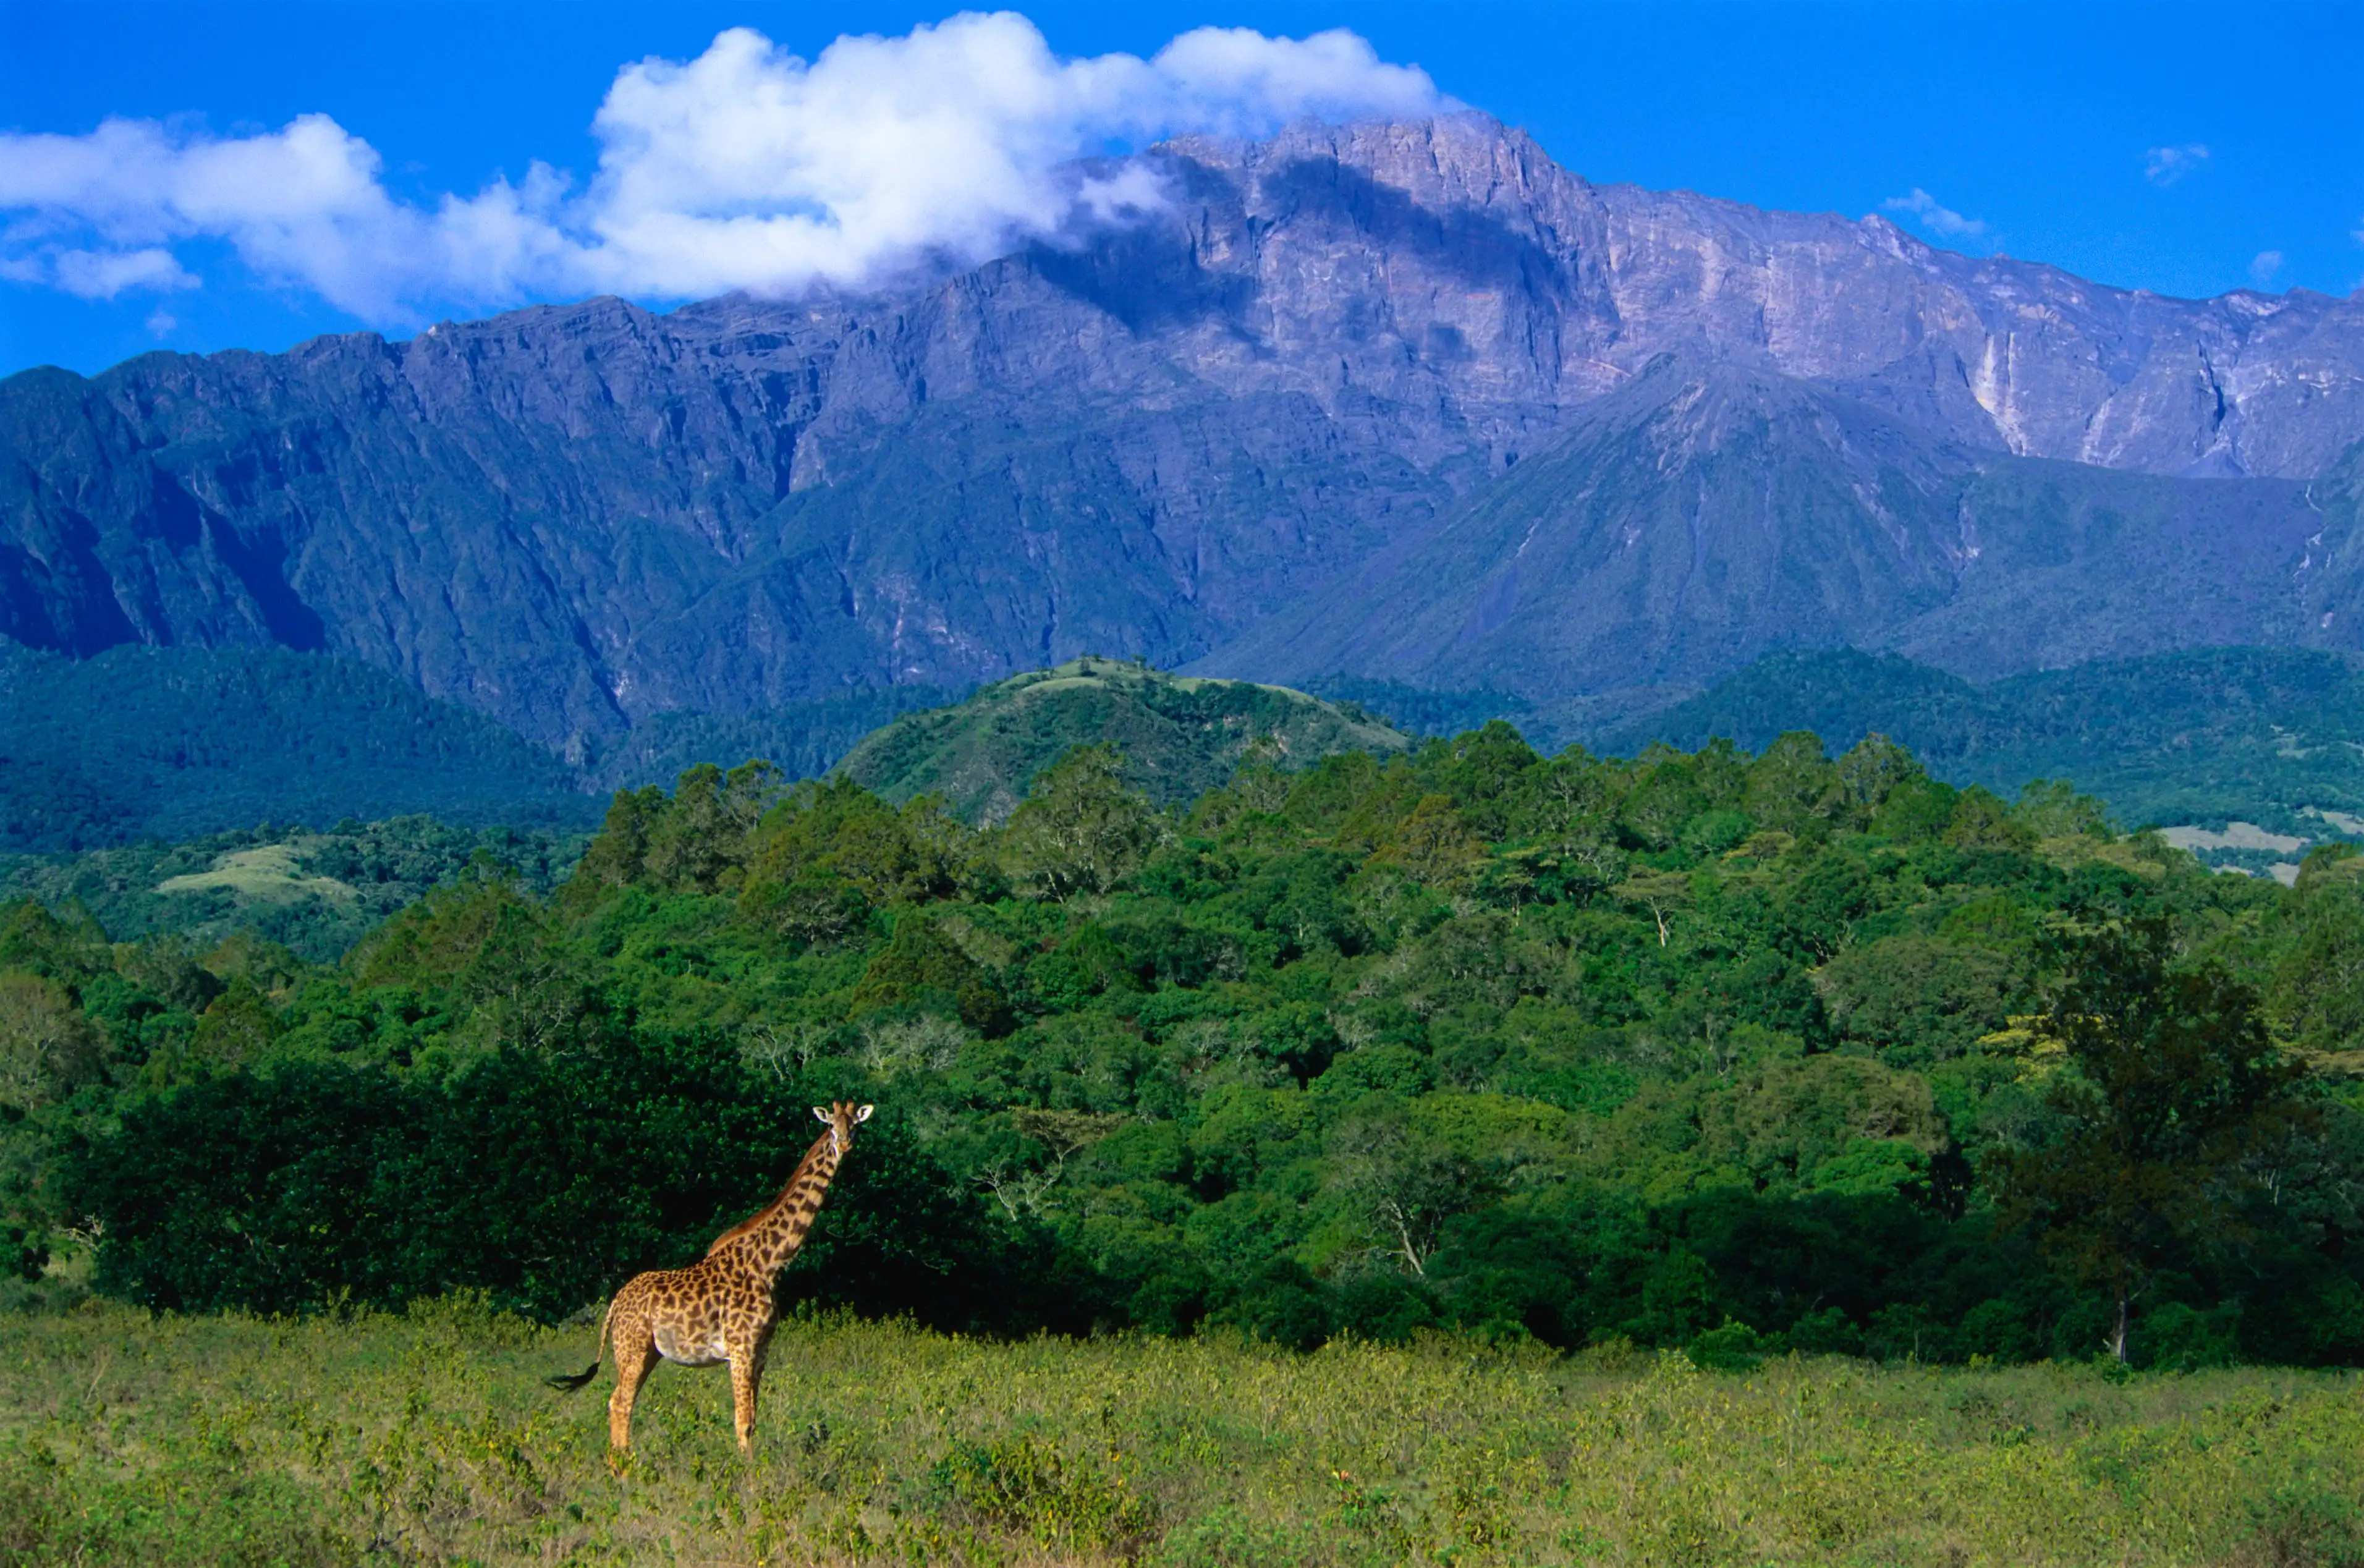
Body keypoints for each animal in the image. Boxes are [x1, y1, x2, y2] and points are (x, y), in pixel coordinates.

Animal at [546, 1097, 879, 1457]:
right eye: (831, 1126)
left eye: (855, 1125)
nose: (844, 1145)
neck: (770, 1263)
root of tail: (615, 1304)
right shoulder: (741, 1347)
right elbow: (742, 1421)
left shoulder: (761, 1351)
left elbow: (753, 1421)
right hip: (631, 1347)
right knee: (620, 1402)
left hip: (648, 1352)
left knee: (621, 1401)